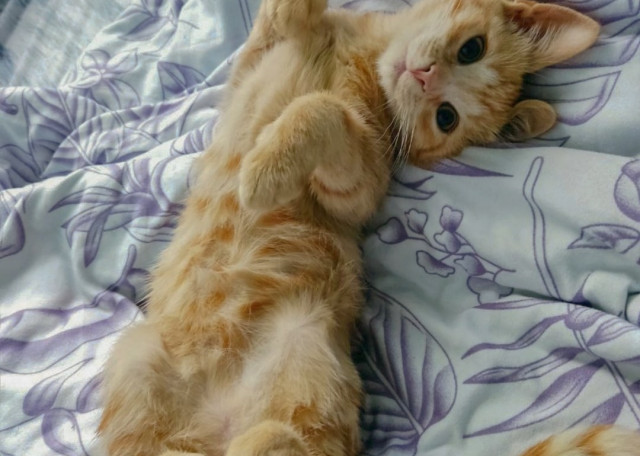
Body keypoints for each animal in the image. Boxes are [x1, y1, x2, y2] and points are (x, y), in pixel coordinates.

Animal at [97, 0, 613, 455]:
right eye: (472, 48)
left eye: (446, 117)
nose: (425, 77)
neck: (364, 54)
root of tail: (221, 427)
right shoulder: (249, 63)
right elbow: (277, 21)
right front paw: (300, 13)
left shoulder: (359, 187)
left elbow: (322, 109)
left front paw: (265, 166)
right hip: (137, 360)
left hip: (306, 347)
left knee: (299, 444)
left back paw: (265, 440)